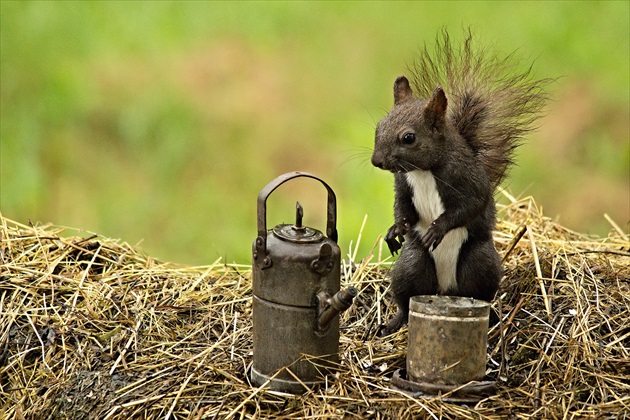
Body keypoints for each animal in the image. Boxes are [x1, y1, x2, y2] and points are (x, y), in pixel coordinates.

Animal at [372, 29, 552, 334]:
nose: (377, 161)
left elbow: (469, 206)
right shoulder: (403, 185)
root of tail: (445, 290)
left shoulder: (469, 180)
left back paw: (491, 317)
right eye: (378, 127)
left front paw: (438, 228)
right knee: (407, 297)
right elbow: (403, 209)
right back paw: (394, 321)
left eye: (408, 137)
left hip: (479, 264)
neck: (424, 171)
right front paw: (395, 230)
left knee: (480, 294)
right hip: (412, 266)